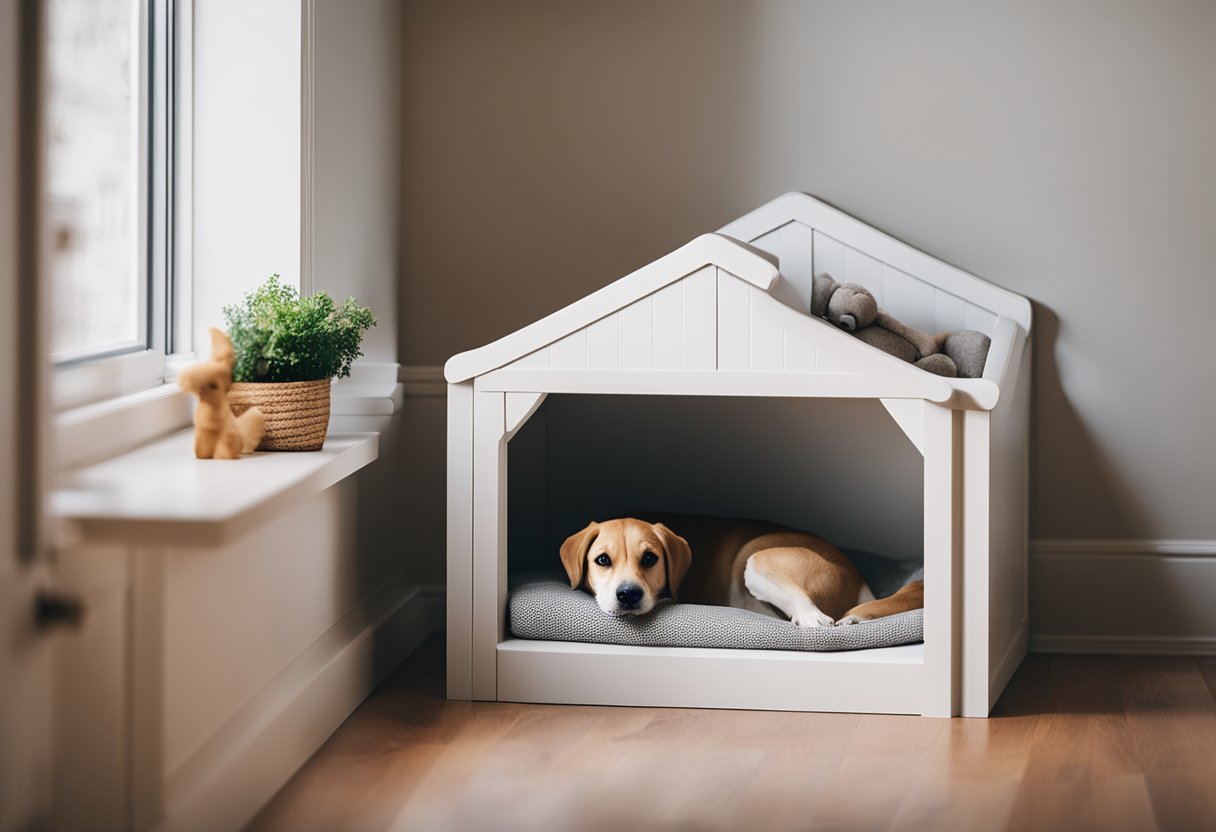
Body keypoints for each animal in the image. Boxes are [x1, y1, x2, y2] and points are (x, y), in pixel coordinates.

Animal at [556, 515, 919, 627]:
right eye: (602, 560)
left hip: (755, 558)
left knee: (814, 614)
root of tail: (855, 577)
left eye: (649, 559)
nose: (628, 595)